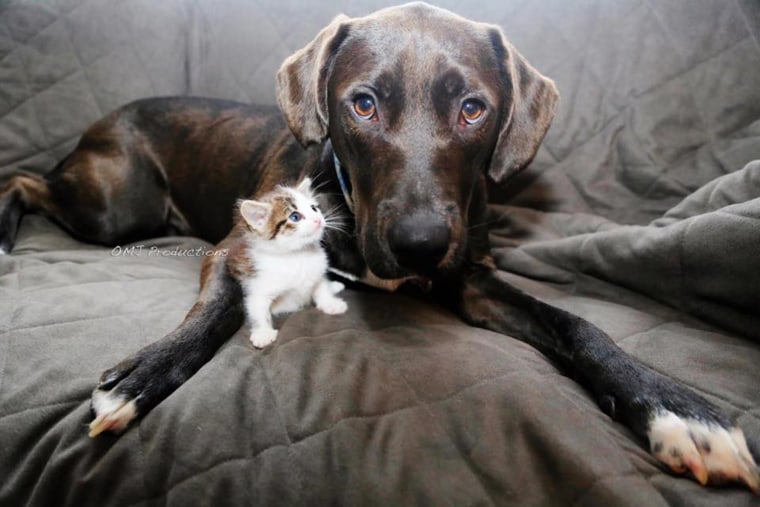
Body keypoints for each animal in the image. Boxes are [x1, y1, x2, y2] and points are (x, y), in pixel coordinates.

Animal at [224, 179, 346, 350]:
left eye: (313, 208)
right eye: (295, 217)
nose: (318, 220)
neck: (297, 254)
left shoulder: (317, 270)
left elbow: (321, 287)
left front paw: (330, 303)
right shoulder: (257, 284)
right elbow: (257, 308)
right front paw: (263, 333)